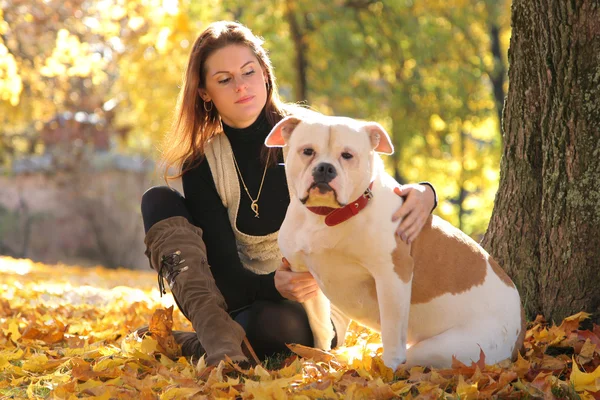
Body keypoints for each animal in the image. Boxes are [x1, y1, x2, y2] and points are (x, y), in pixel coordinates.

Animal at [268, 113, 524, 368]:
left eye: (348, 155)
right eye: (307, 151)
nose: (325, 168)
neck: (327, 216)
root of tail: (519, 329)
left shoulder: (391, 275)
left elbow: (391, 329)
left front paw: (387, 370)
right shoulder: (301, 275)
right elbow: (320, 325)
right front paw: (319, 359)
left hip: (448, 349)